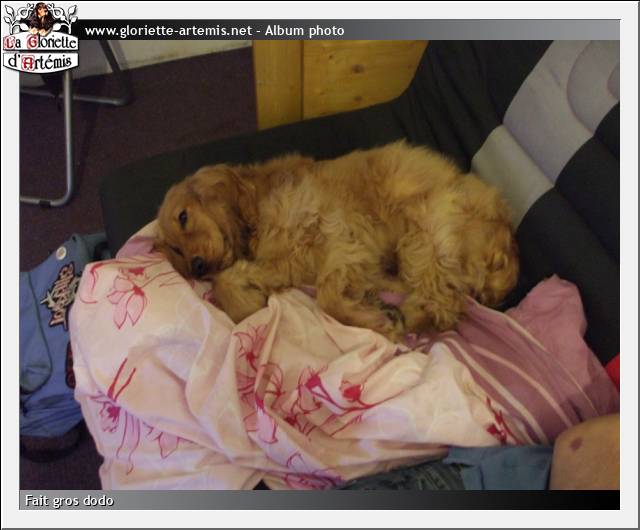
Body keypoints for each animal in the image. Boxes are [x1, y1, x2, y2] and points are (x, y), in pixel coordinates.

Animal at [155, 141, 519, 341]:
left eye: (184, 217)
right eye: (175, 250)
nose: (196, 267)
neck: (256, 207)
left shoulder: (340, 233)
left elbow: (328, 297)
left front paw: (368, 318)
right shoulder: (291, 260)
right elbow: (228, 281)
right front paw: (246, 301)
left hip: (428, 228)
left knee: (442, 304)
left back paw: (394, 314)